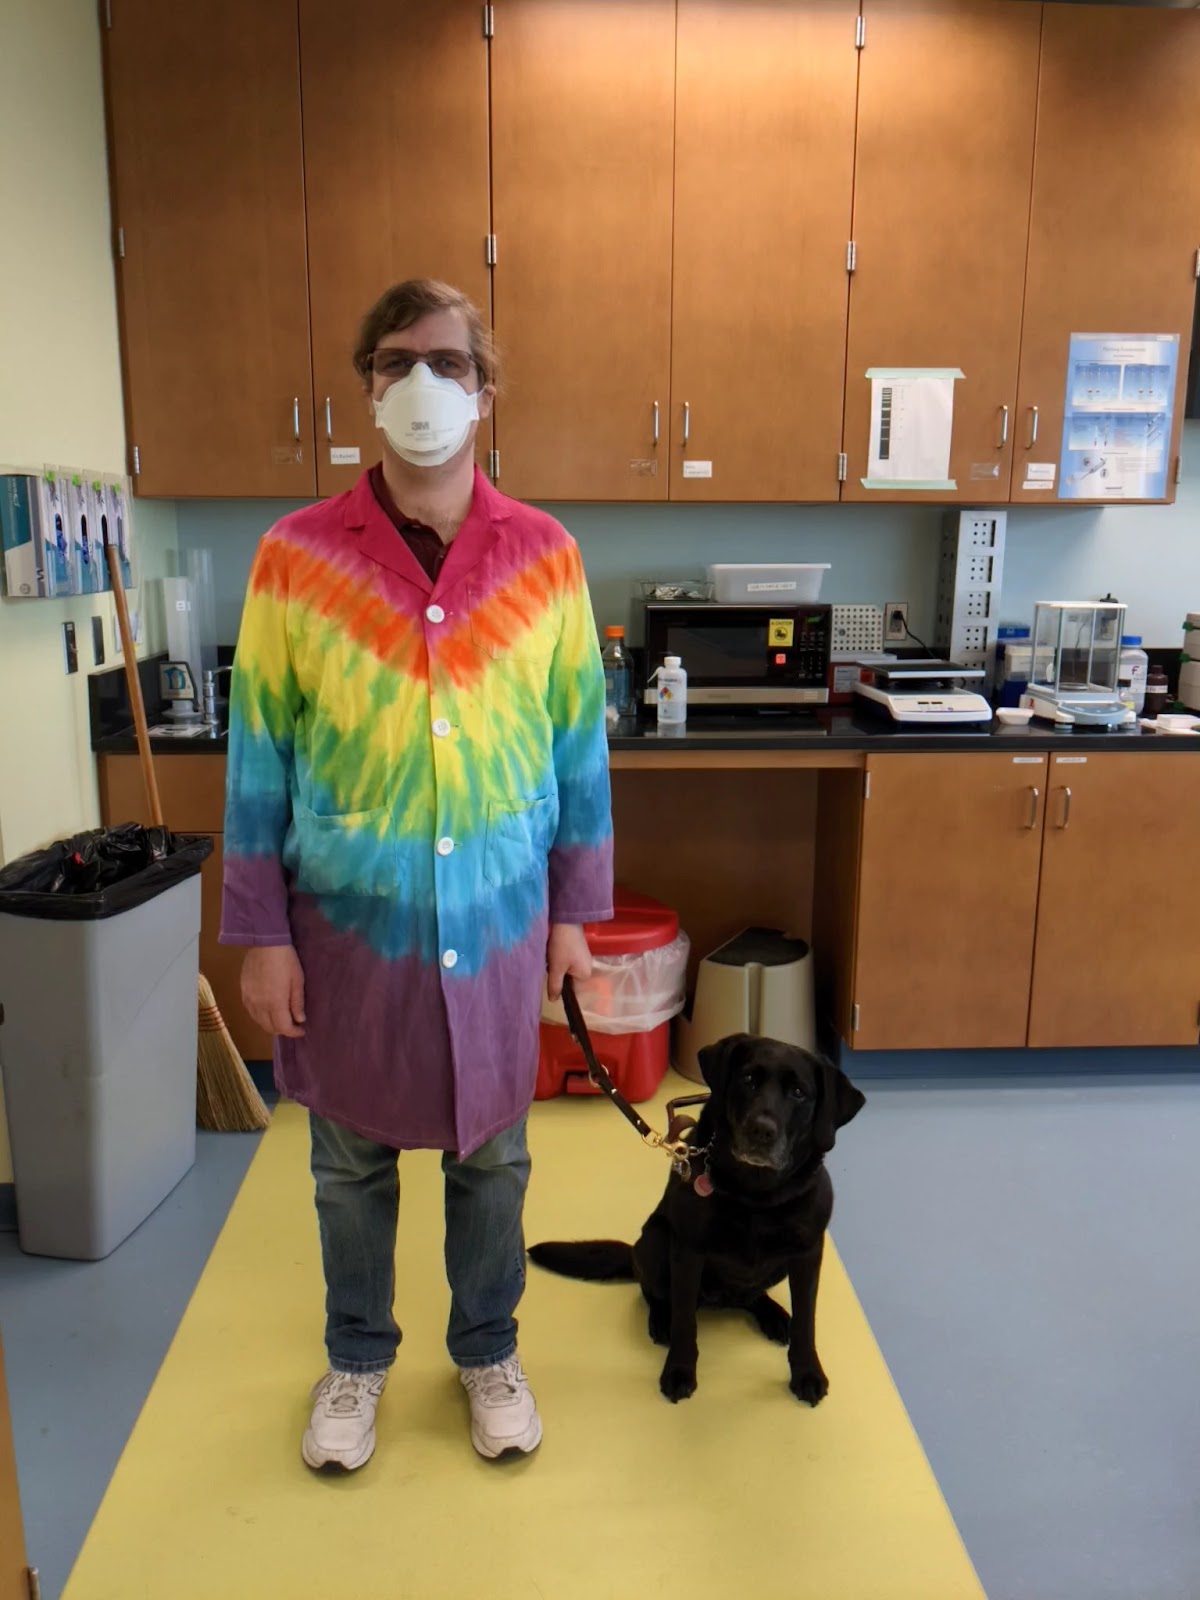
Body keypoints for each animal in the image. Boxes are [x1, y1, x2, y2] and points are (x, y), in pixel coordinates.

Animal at [528, 1036, 864, 1401]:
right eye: (748, 1079)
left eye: (799, 1092)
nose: (761, 1130)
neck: (754, 1194)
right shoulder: (688, 1251)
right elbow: (685, 1319)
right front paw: (679, 1369)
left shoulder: (807, 1255)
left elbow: (806, 1322)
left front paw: (807, 1372)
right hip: (655, 1240)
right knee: (655, 1292)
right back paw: (661, 1319)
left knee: (751, 1296)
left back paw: (773, 1315)